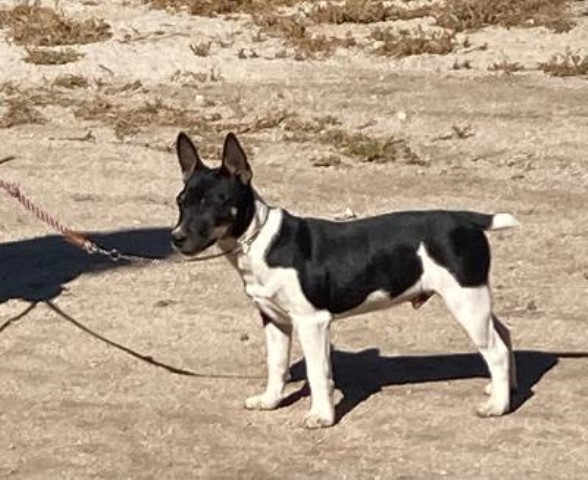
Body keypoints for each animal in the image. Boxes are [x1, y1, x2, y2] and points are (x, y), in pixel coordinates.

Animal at [171, 131, 520, 428]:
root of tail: (468, 220)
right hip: (474, 299)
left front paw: (321, 416)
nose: (176, 238)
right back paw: (503, 391)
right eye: (181, 201)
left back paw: (497, 407)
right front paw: (270, 401)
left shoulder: (312, 322)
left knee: (496, 350)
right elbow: (276, 365)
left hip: (466, 301)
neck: (260, 243)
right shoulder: (275, 319)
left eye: (215, 202)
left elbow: (317, 372)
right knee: (503, 334)